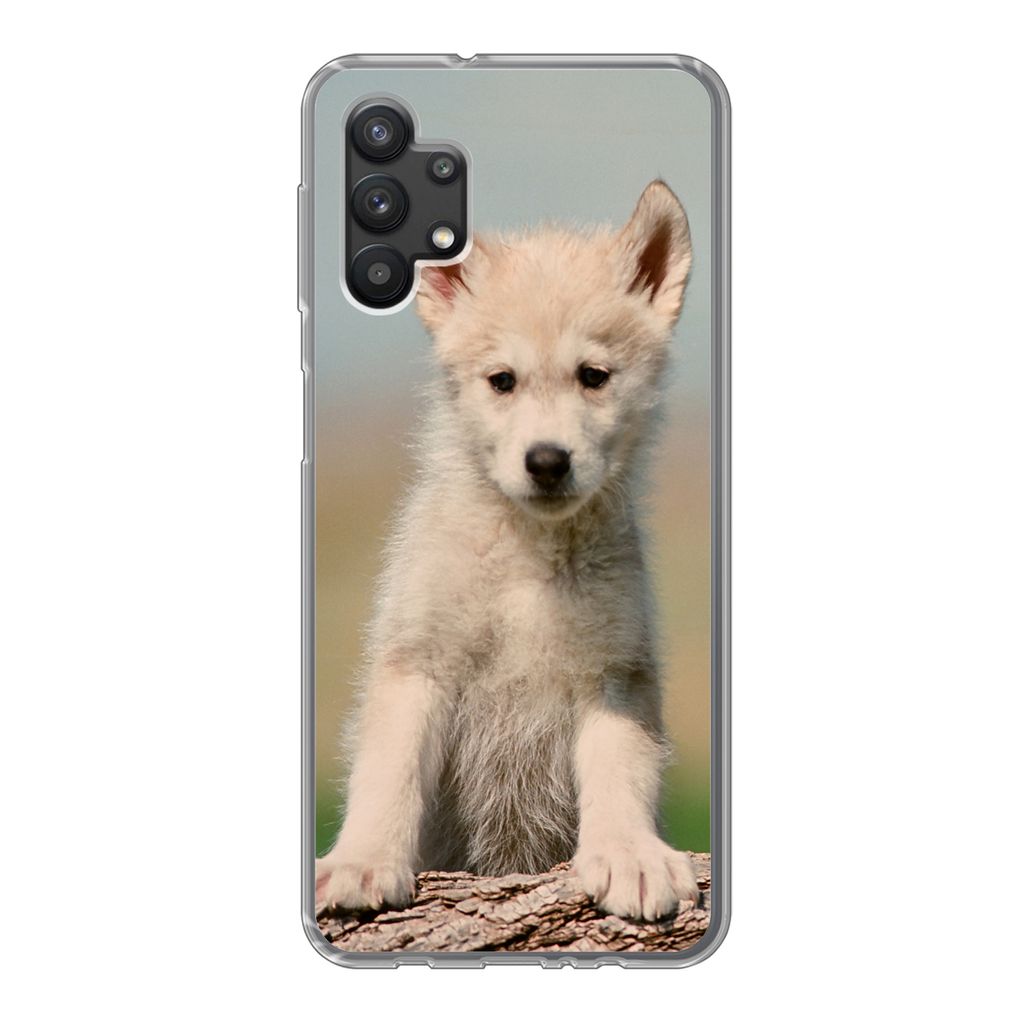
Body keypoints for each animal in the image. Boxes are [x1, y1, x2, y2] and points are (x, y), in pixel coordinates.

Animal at [315, 180, 700, 921]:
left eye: (593, 376)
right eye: (502, 381)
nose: (547, 462)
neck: (528, 559)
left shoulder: (615, 673)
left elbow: (620, 770)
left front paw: (629, 855)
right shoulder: (417, 662)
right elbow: (388, 773)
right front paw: (362, 861)